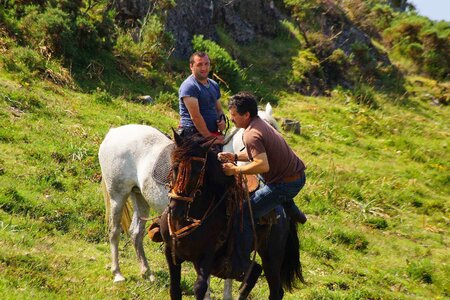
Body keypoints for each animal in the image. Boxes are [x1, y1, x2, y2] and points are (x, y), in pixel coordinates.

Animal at [100, 102, 280, 298]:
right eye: (263, 133)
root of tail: (114, 132)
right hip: (118, 194)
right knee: (114, 231)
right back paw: (117, 273)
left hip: (140, 197)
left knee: (135, 233)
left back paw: (147, 273)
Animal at [160, 131, 304, 300]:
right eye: (175, 167)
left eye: (198, 171)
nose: (176, 209)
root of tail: (284, 211)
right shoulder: (171, 253)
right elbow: (175, 290)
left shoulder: (206, 257)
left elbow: (199, 288)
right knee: (254, 272)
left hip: (272, 257)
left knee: (275, 290)